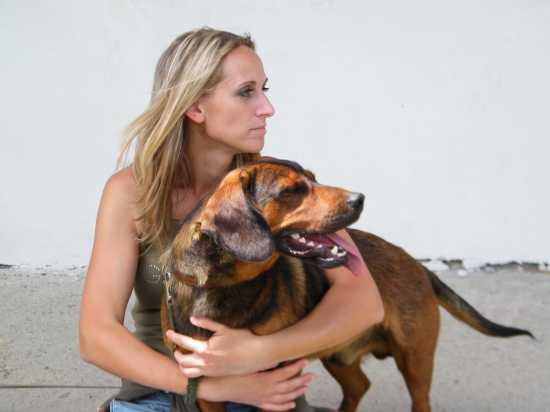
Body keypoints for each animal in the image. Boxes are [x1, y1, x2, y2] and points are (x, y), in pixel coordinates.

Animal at [160, 158, 532, 412]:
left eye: (314, 179)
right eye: (291, 190)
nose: (360, 199)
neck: (217, 289)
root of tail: (418, 265)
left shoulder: (279, 381)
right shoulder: (208, 391)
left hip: (415, 359)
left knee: (418, 399)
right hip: (339, 356)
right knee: (359, 386)